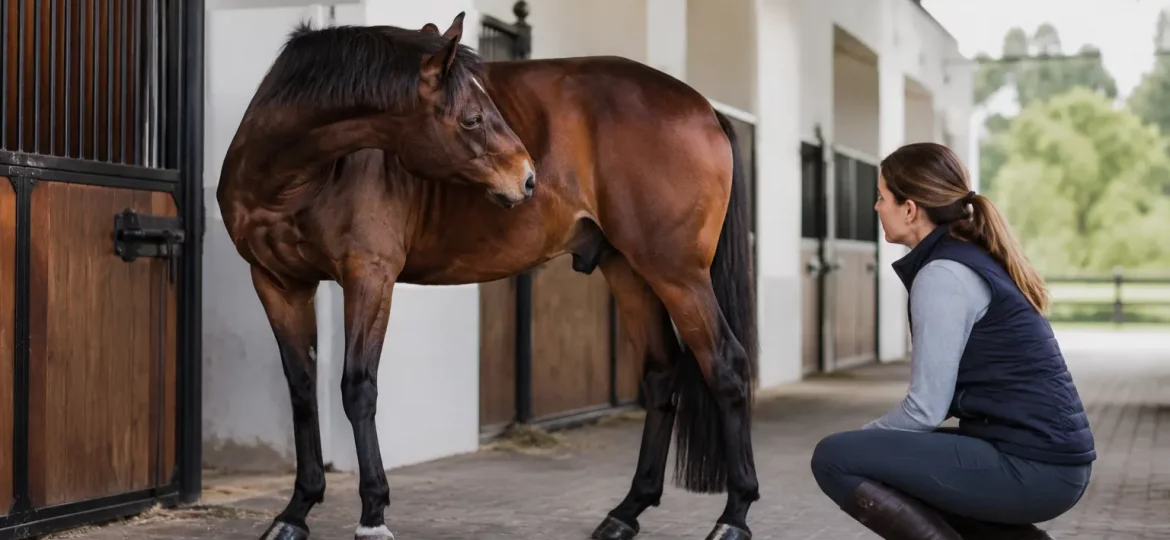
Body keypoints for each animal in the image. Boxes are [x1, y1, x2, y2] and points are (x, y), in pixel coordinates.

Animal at [216, 13, 759, 540]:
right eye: (472, 117)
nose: (528, 178)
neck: (295, 178)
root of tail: (704, 108)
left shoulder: (369, 277)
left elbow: (358, 387)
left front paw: (372, 515)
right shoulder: (277, 283)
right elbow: (302, 390)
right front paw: (295, 511)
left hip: (677, 273)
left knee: (725, 365)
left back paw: (732, 517)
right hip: (628, 269)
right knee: (662, 373)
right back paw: (626, 512)